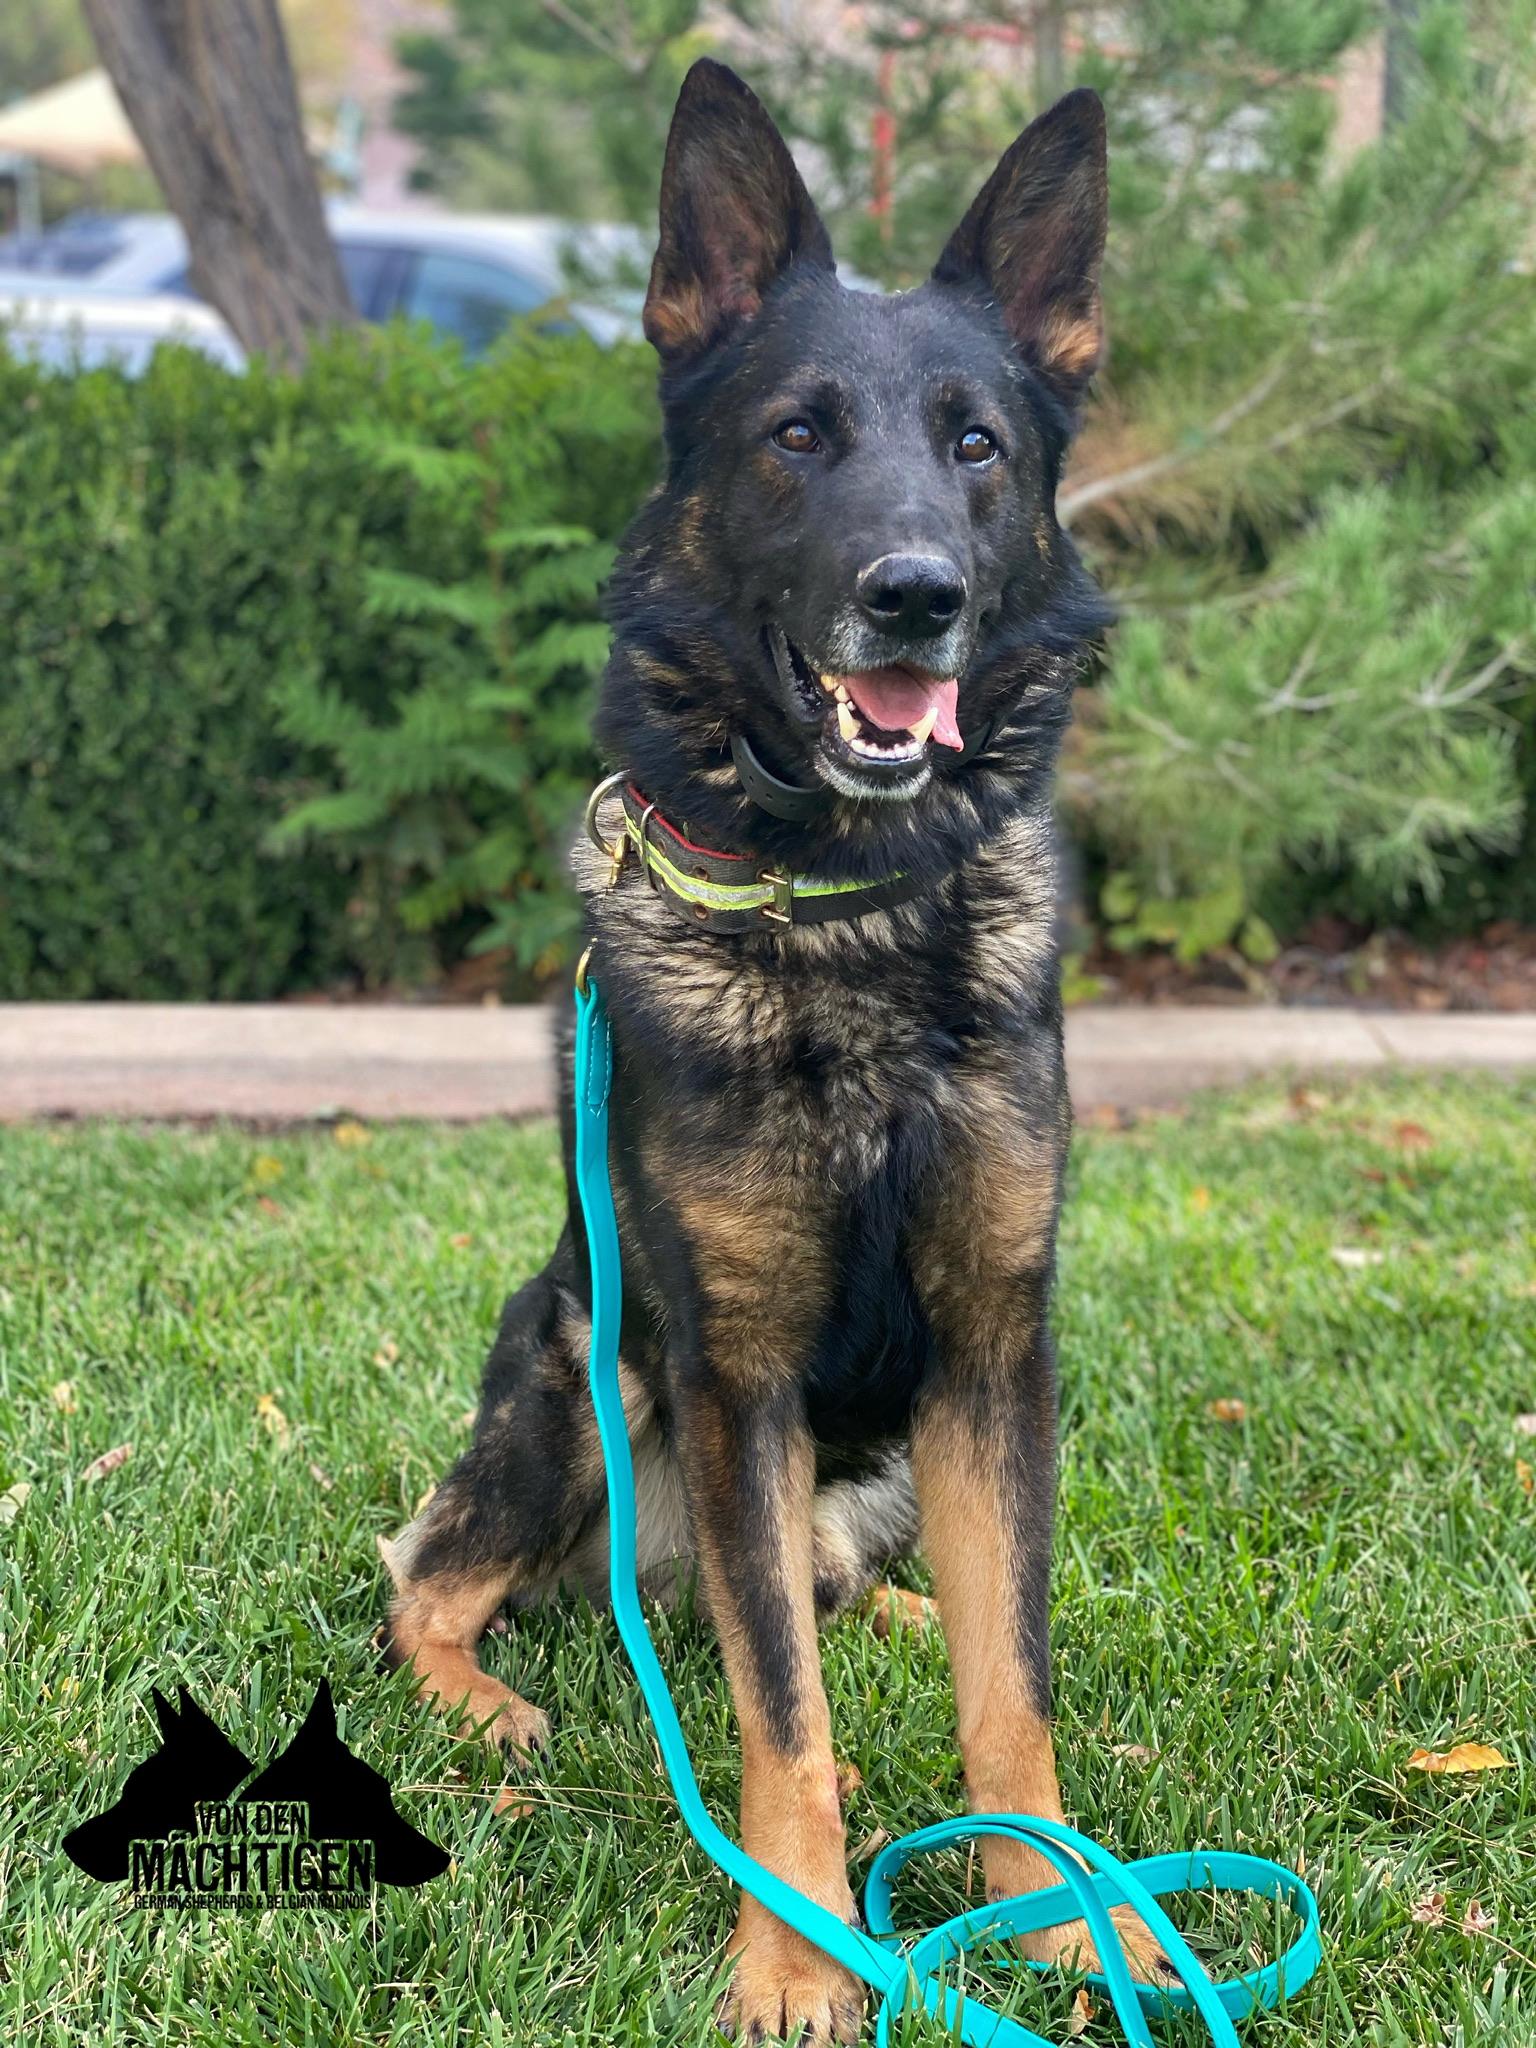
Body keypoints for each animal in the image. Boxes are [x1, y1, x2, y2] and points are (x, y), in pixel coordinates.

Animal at [381, 58, 1173, 2041]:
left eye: (979, 447)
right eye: (798, 436)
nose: (915, 595)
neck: (849, 918)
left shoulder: (995, 1353)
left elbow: (1012, 1686)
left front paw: (1058, 1913)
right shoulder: (734, 1377)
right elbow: (779, 1720)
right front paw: (807, 1954)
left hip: (870, 1463)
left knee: (846, 1592)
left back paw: (892, 1615)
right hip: (587, 1379)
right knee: (432, 1579)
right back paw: (488, 1706)